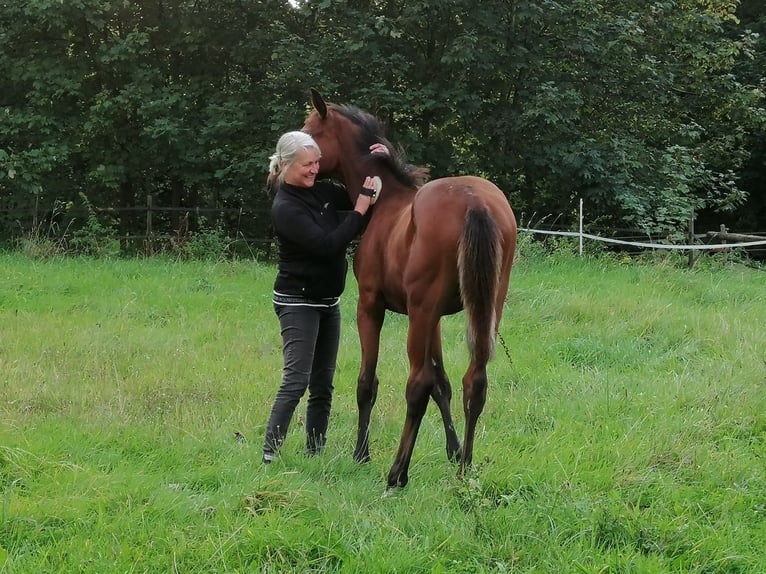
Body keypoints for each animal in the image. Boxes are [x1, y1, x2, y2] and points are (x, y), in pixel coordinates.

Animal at [304, 91, 520, 490]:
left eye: (310, 133)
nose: (277, 168)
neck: (386, 202)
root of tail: (474, 201)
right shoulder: (434, 317)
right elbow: (442, 383)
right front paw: (453, 451)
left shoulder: (371, 306)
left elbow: (368, 383)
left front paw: (361, 453)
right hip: (482, 309)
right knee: (474, 380)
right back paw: (465, 468)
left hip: (418, 314)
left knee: (416, 385)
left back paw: (397, 473)